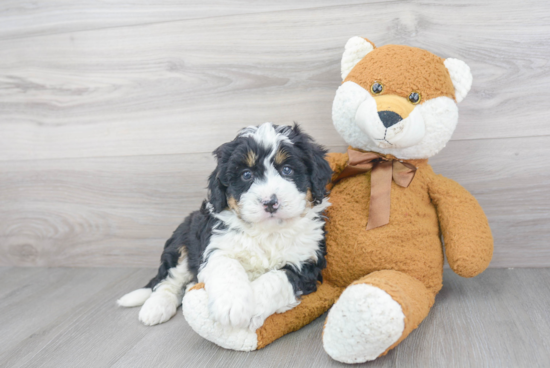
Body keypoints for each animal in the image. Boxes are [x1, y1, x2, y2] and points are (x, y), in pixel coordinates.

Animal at [117, 122, 332, 330]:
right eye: (246, 175)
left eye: (287, 170)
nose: (270, 202)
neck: (267, 232)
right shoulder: (216, 245)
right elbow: (227, 265)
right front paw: (232, 305)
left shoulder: (307, 262)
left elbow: (276, 280)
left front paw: (252, 308)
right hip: (181, 244)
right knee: (168, 281)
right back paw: (156, 307)